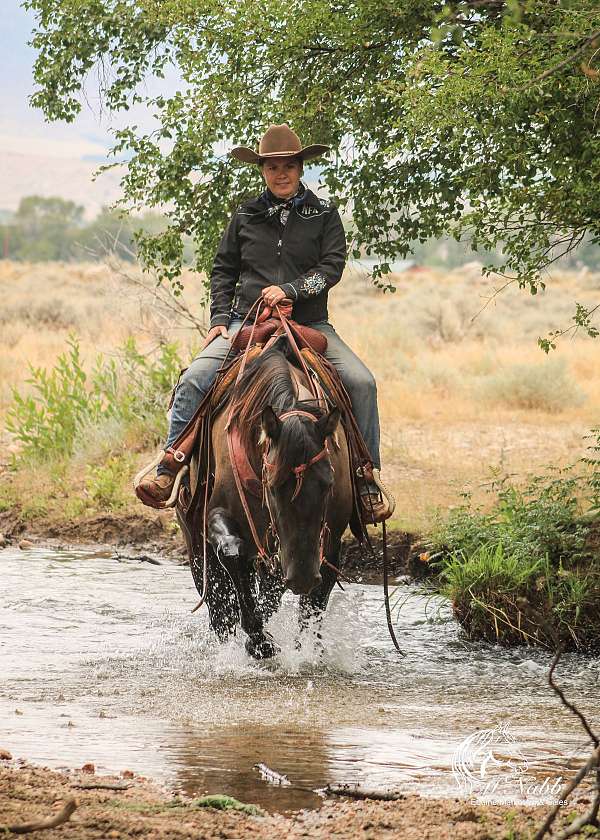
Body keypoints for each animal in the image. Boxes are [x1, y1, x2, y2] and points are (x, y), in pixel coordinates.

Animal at [190, 340, 354, 656]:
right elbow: (232, 551)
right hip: (196, 546)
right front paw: (260, 642)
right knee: (219, 610)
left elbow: (312, 602)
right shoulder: (216, 513)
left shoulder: (328, 539)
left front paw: (304, 652)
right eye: (274, 486)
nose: (302, 577)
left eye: (327, 484)